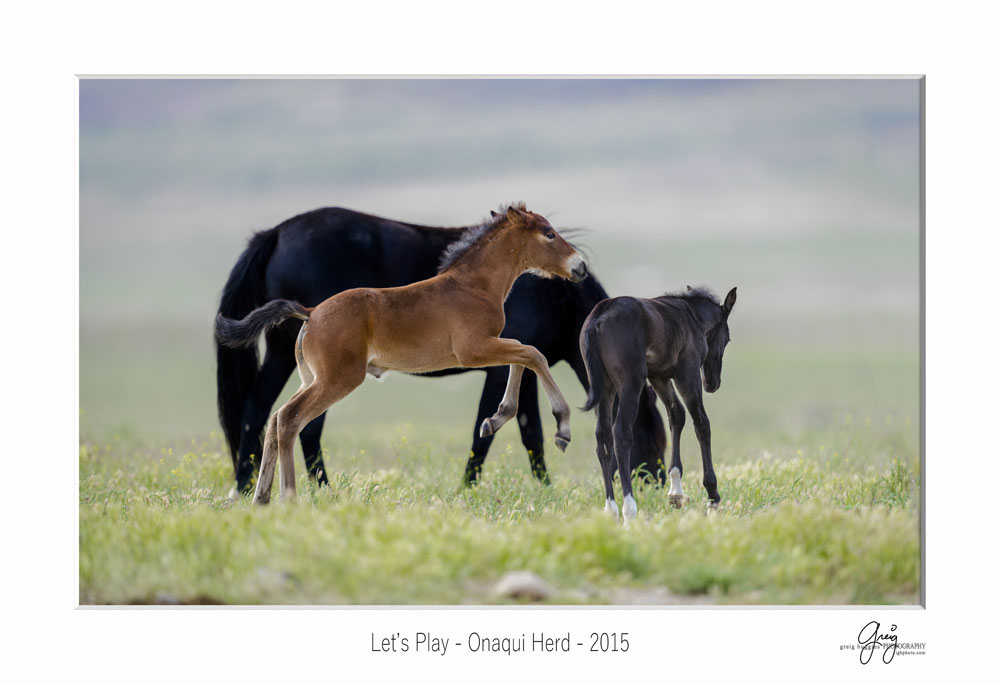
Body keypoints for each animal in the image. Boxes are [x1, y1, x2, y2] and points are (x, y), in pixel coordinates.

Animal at [217, 206, 664, 494]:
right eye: (549, 233)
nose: (579, 267)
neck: (473, 286)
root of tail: (309, 312)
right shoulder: (475, 351)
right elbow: (530, 359)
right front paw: (560, 428)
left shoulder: (490, 352)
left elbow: (523, 365)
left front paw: (498, 419)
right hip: (334, 379)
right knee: (287, 419)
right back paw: (285, 495)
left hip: (309, 376)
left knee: (276, 418)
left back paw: (259, 496)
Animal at [580, 288, 736, 520]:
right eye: (727, 339)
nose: (712, 383)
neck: (691, 316)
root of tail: (597, 319)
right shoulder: (687, 373)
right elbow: (701, 423)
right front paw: (712, 497)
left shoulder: (659, 377)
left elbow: (676, 414)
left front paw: (676, 492)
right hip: (631, 382)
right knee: (621, 433)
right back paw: (629, 510)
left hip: (605, 387)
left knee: (603, 436)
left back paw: (611, 510)